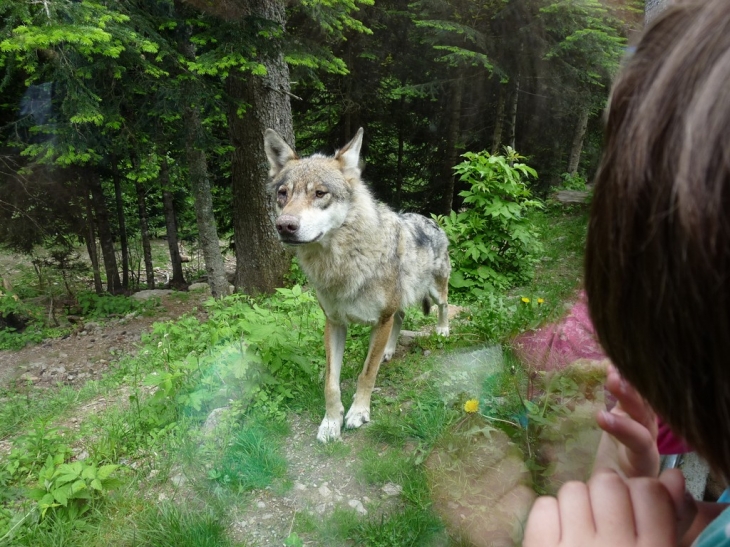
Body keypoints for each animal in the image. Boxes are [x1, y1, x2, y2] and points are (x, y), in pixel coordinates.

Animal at [262, 127, 450, 440]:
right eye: (282, 194)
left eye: (320, 193)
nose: (285, 226)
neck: (342, 264)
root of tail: (429, 219)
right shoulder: (335, 323)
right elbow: (330, 383)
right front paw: (330, 422)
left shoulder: (381, 319)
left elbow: (367, 373)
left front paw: (358, 413)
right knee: (401, 318)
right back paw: (389, 351)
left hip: (435, 290)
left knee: (444, 306)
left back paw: (443, 331)